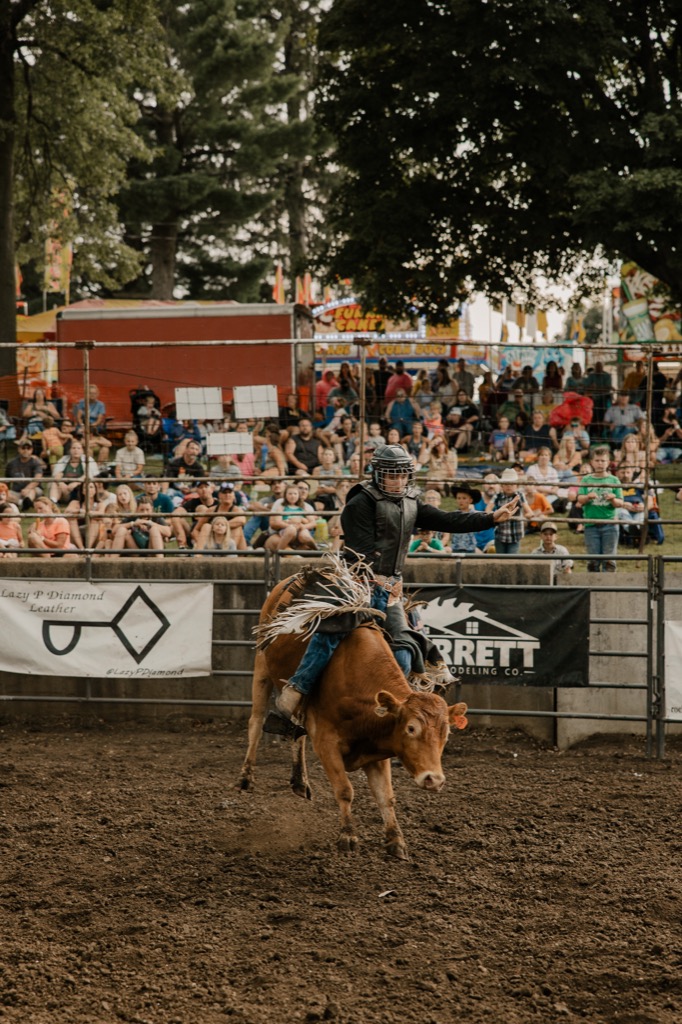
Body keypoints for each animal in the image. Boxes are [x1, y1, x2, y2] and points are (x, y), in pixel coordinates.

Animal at [237, 575, 467, 860]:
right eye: (411, 729)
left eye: (446, 734)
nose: (434, 780)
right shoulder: (326, 743)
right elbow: (345, 790)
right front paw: (348, 837)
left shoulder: (377, 747)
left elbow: (386, 796)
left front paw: (396, 841)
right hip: (262, 666)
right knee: (256, 722)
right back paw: (246, 777)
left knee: (297, 734)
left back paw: (300, 781)